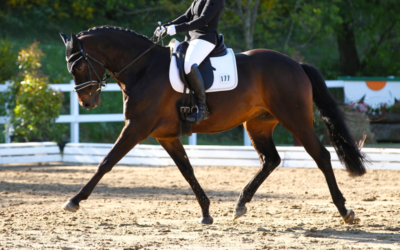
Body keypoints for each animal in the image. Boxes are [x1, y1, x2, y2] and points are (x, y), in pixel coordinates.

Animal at [57, 26, 368, 226]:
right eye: (70, 67)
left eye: (79, 66)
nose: (87, 102)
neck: (142, 68)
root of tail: (296, 64)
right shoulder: (164, 136)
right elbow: (187, 171)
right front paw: (206, 212)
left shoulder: (136, 128)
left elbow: (106, 162)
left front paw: (74, 200)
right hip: (258, 124)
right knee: (271, 159)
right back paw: (241, 204)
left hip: (296, 120)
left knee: (321, 156)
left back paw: (345, 211)